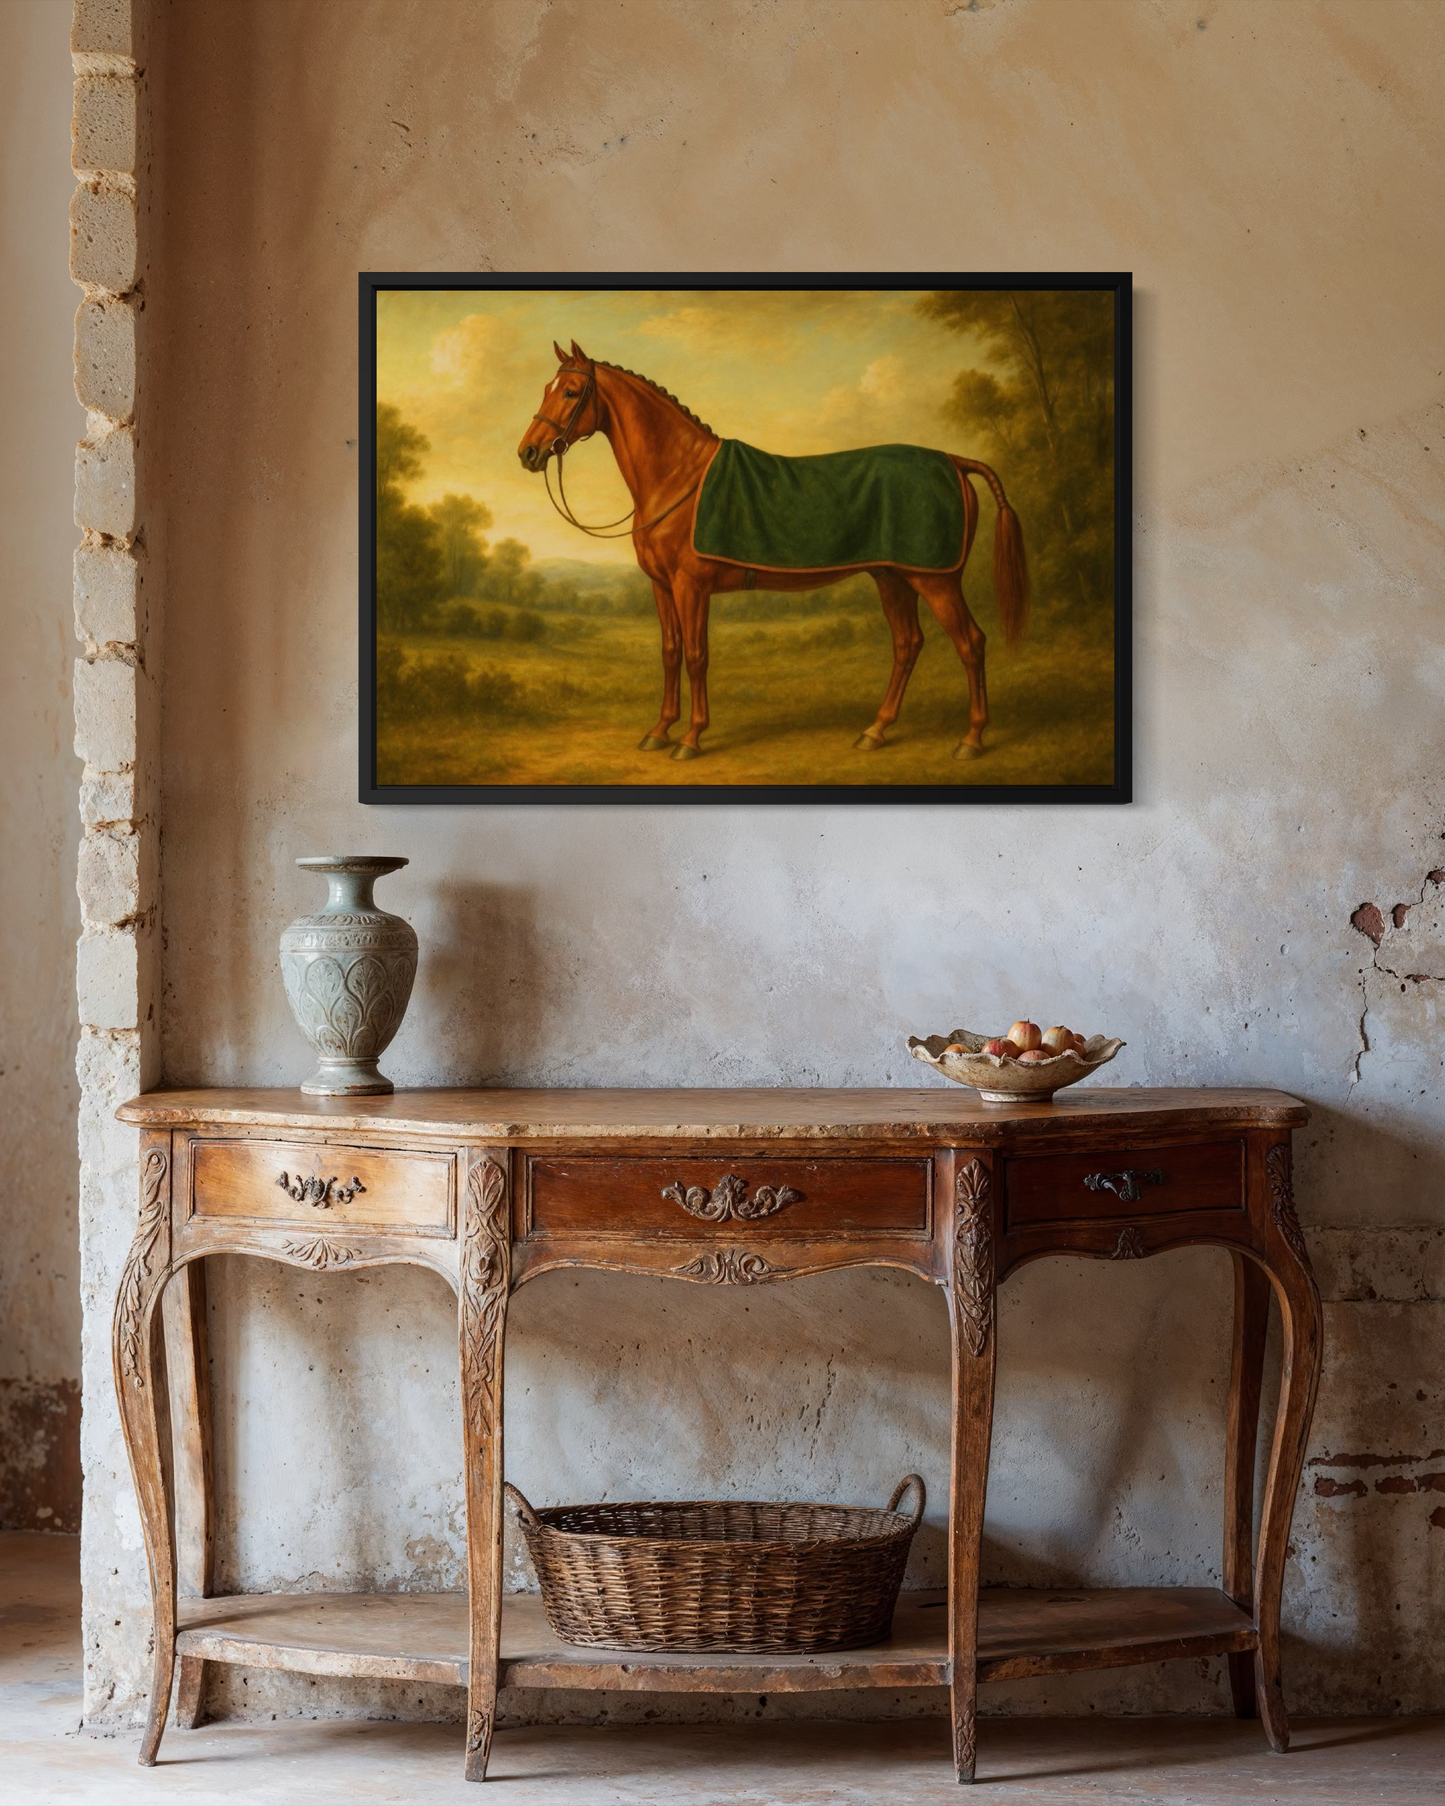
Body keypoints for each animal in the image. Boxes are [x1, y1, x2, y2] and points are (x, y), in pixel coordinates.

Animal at [517, 339, 1028, 762]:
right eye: (545, 388)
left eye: (570, 392)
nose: (528, 453)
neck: (678, 477)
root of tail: (954, 461)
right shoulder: (662, 587)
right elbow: (670, 652)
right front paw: (659, 730)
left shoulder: (691, 587)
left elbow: (697, 656)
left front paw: (690, 738)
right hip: (893, 578)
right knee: (907, 645)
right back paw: (875, 731)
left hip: (936, 580)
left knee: (970, 643)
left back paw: (971, 739)